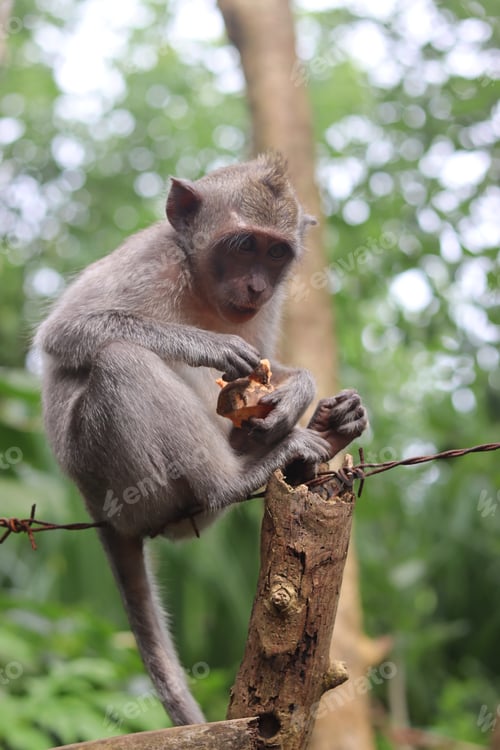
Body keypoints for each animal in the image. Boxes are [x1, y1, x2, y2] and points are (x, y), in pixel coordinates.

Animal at [35, 154, 368, 726]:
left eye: (276, 252)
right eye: (243, 245)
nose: (256, 287)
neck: (199, 282)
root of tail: (95, 506)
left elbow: (267, 363)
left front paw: (297, 388)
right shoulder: (150, 261)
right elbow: (65, 333)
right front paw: (209, 345)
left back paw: (322, 431)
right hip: (125, 484)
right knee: (120, 359)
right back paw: (236, 477)